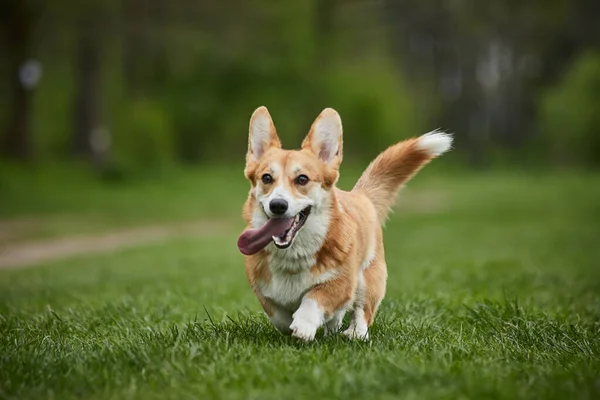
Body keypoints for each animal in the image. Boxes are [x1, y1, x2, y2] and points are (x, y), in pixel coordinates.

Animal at [237, 106, 452, 340]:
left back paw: (354, 333)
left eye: (302, 179)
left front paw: (304, 325)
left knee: (362, 311)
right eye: (266, 178)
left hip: (368, 280)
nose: (277, 205)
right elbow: (279, 315)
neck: (293, 255)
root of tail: (360, 194)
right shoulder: (263, 291)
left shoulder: (342, 283)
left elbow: (314, 298)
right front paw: (294, 323)